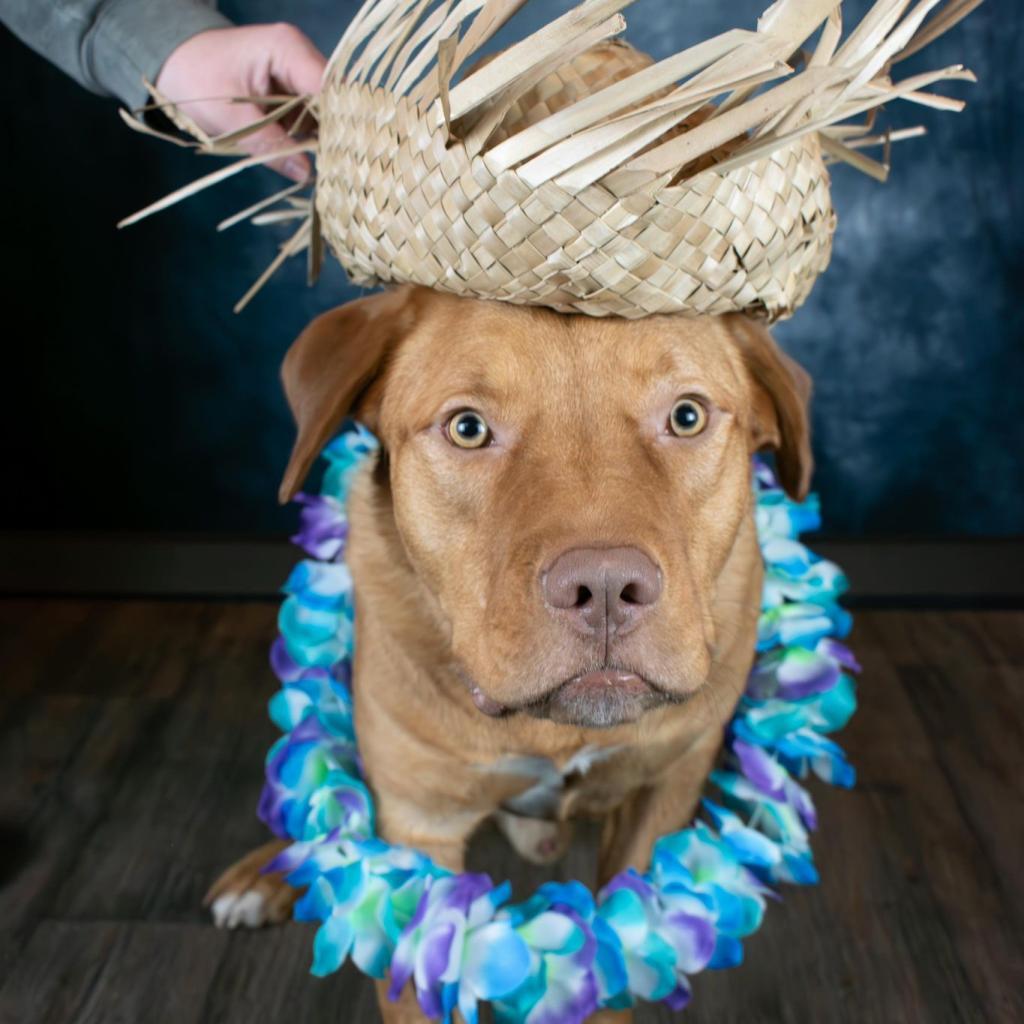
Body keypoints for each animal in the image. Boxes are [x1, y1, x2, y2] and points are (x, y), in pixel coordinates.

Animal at [207, 284, 811, 1019]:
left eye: (687, 416)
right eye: (468, 428)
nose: (603, 587)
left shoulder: (662, 793)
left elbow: (624, 954)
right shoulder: (417, 833)